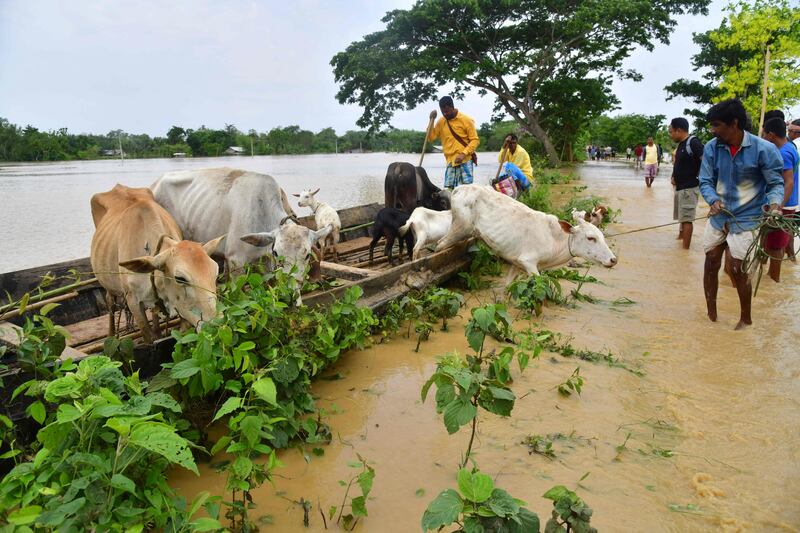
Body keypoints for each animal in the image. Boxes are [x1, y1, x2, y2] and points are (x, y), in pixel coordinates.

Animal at [90, 183, 225, 342]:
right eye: (180, 278)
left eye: (215, 273)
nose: (217, 323)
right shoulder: (133, 301)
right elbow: (149, 338)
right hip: (109, 285)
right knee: (110, 302)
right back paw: (111, 335)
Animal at [434, 184, 616, 274]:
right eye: (591, 238)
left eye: (602, 237)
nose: (614, 260)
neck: (556, 238)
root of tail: (459, 188)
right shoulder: (529, 262)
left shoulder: (517, 264)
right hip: (460, 228)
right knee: (439, 245)